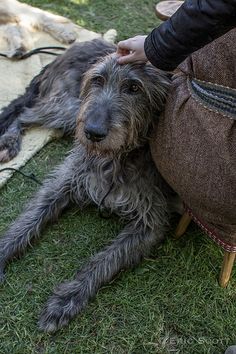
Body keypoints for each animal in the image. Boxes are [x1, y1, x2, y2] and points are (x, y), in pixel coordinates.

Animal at [0, 38, 171, 332]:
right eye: (97, 80)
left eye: (134, 88)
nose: (93, 132)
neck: (116, 158)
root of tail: (73, 48)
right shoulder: (65, 180)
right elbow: (28, 220)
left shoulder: (151, 221)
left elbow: (105, 260)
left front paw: (66, 299)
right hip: (69, 109)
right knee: (24, 113)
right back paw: (10, 140)